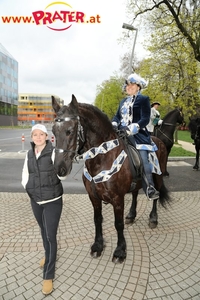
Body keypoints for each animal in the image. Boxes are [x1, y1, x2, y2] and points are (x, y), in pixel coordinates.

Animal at [51, 95, 170, 262]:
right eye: (53, 131)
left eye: (70, 131)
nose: (59, 168)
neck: (102, 157)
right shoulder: (93, 197)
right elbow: (97, 220)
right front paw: (98, 245)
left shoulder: (117, 198)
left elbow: (118, 224)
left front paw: (120, 251)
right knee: (135, 194)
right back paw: (131, 215)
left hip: (158, 176)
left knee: (156, 196)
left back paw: (153, 218)